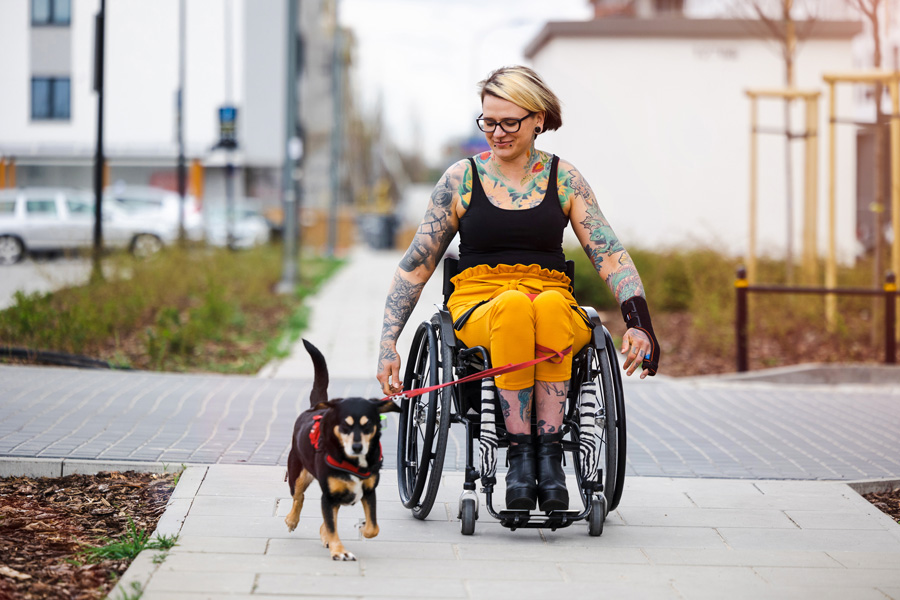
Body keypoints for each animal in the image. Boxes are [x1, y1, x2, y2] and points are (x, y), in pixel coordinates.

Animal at [284, 342, 398, 564]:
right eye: (345, 425)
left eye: (368, 425)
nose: (357, 447)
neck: (353, 462)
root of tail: (314, 408)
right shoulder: (328, 496)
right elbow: (331, 525)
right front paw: (339, 551)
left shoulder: (369, 492)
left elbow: (373, 527)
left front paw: (362, 528)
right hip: (298, 473)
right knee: (298, 497)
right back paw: (292, 520)